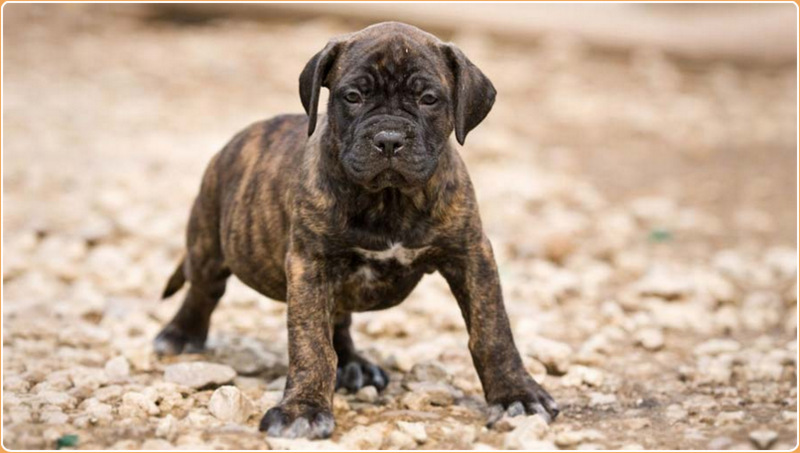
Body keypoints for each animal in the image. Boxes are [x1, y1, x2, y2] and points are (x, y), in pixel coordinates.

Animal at [153, 21, 560, 438]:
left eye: (429, 99)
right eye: (353, 96)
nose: (389, 139)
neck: (390, 199)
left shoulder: (471, 255)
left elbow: (492, 330)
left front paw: (516, 395)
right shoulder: (310, 265)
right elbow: (311, 342)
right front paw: (303, 409)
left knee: (339, 320)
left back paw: (354, 364)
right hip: (208, 239)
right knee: (204, 289)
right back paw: (180, 334)